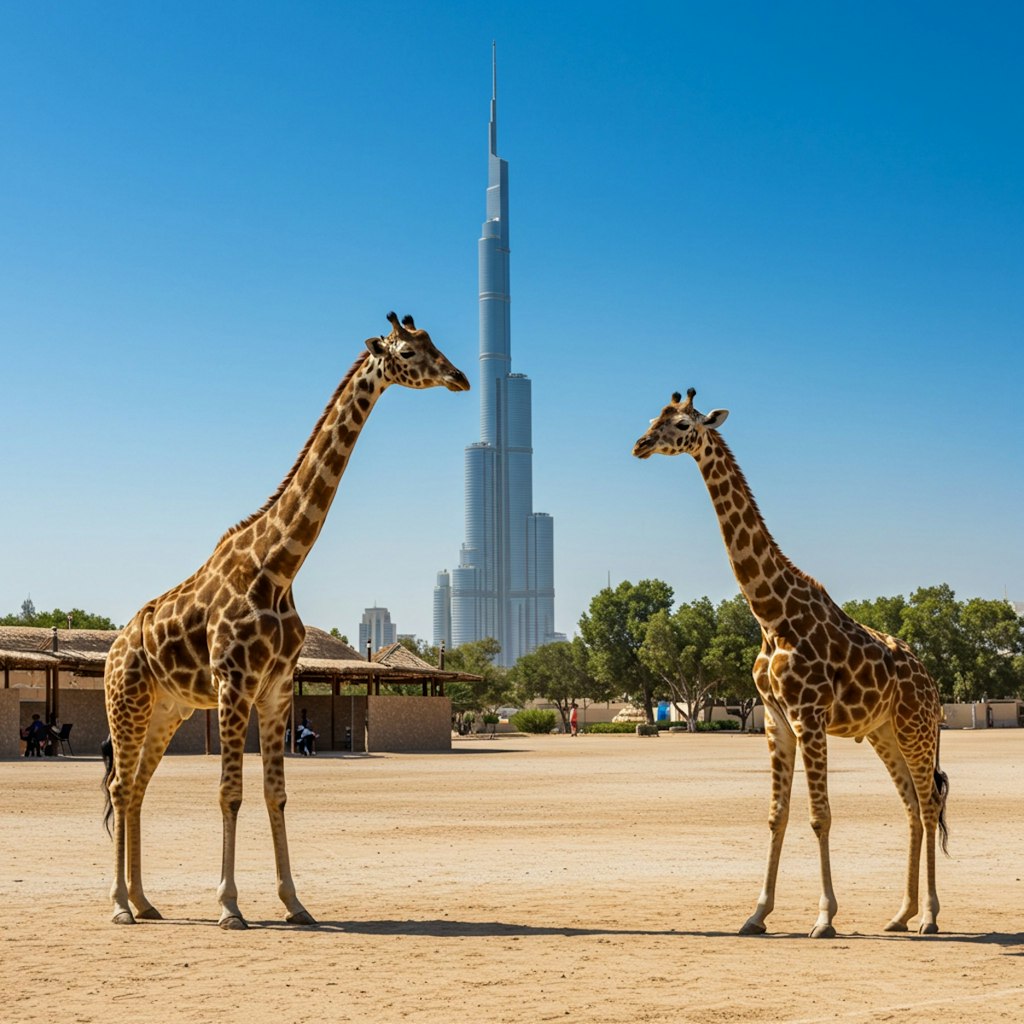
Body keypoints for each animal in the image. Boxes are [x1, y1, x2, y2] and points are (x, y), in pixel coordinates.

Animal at [101, 309, 468, 929]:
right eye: (409, 352)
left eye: (434, 343)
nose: (460, 377)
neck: (278, 566)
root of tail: (113, 648)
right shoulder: (234, 684)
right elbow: (230, 792)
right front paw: (229, 906)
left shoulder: (274, 689)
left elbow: (276, 793)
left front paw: (295, 903)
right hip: (126, 701)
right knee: (122, 787)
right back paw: (120, 904)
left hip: (167, 710)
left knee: (139, 787)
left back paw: (146, 901)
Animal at [630, 387, 950, 937]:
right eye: (655, 416)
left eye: (683, 424)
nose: (640, 444)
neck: (769, 613)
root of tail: (930, 680)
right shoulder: (776, 718)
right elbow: (776, 815)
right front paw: (756, 914)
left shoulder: (809, 715)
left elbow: (820, 815)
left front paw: (824, 917)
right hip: (884, 731)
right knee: (911, 802)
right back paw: (901, 913)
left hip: (916, 727)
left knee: (929, 804)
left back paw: (930, 915)